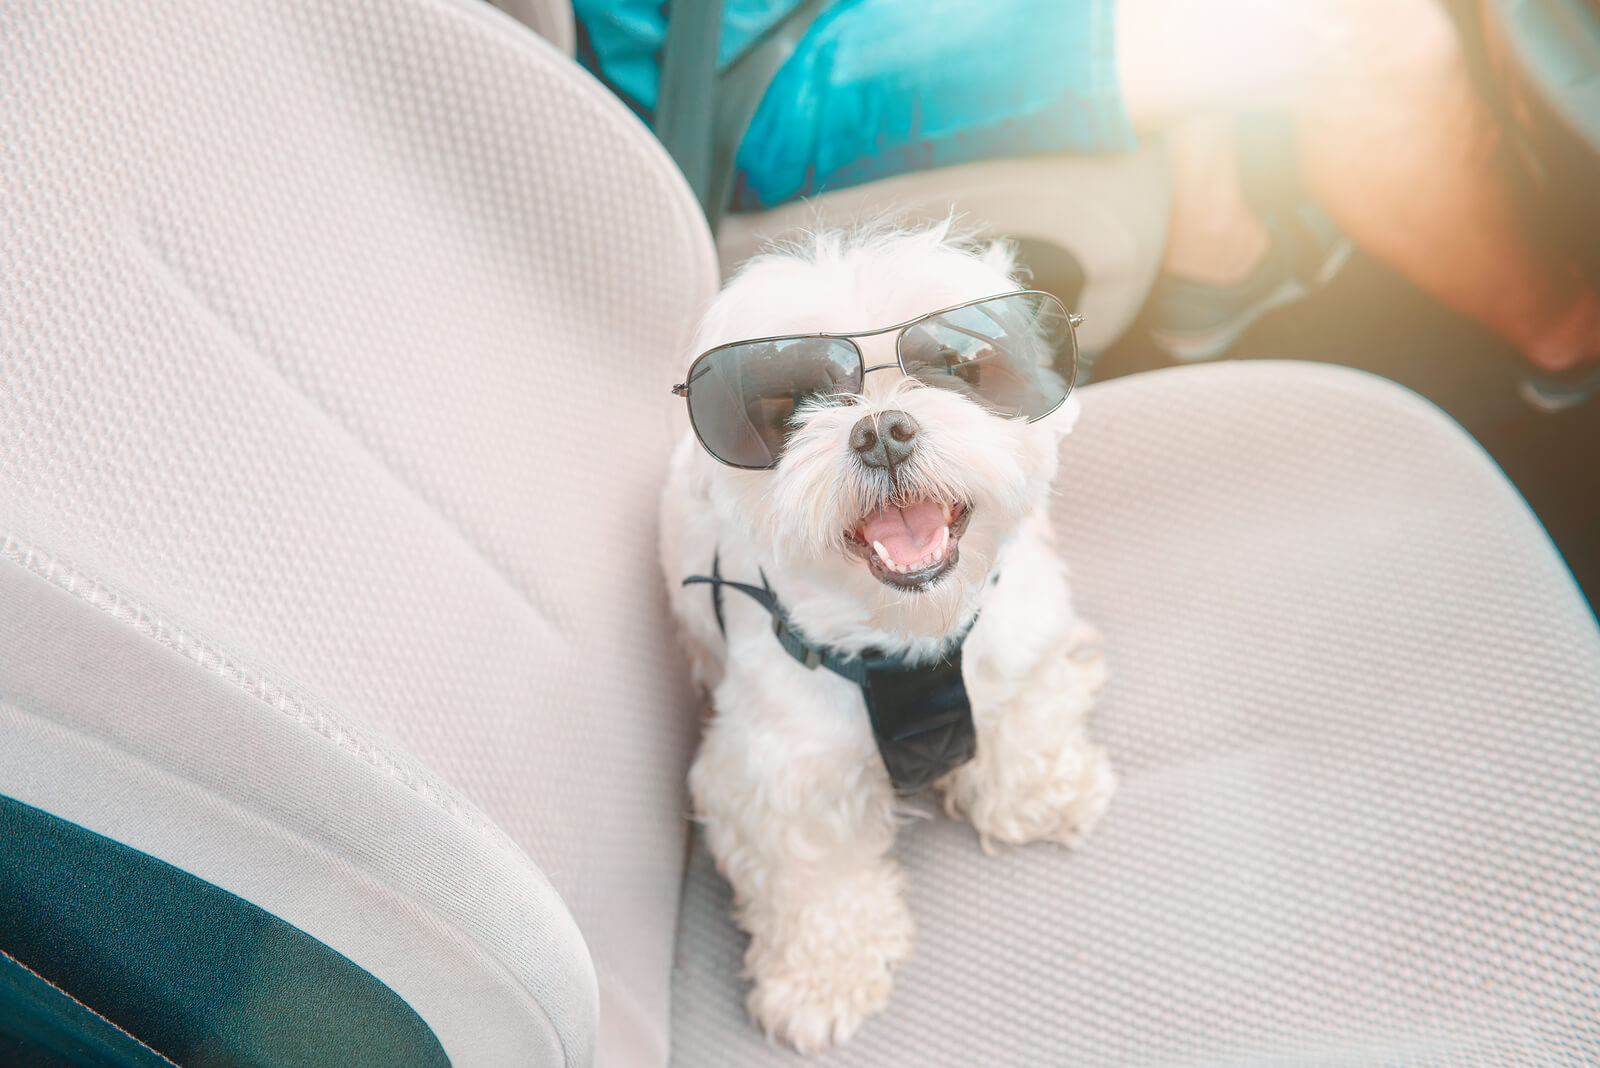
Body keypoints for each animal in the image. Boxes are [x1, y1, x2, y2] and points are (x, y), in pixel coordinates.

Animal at [659, 225, 1113, 1048]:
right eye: (791, 403)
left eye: (959, 367)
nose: (881, 432)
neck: (911, 640)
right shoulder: (776, 773)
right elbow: (811, 874)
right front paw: (823, 977)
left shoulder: (1016, 640)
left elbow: (1026, 715)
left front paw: (1041, 790)